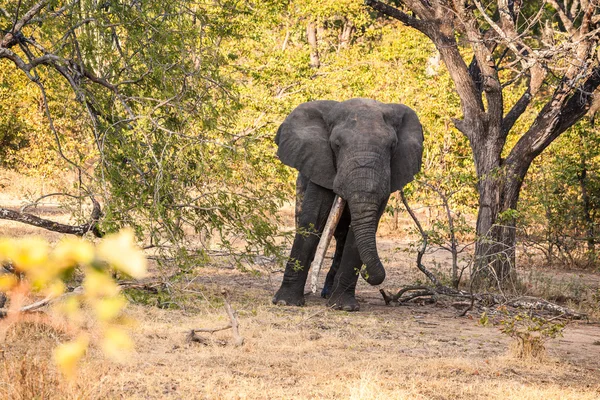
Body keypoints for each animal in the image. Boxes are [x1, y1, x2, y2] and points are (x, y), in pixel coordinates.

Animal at [272, 98, 422, 310]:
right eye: (336, 144)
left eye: (392, 146)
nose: (367, 274)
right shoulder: (321, 164)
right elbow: (313, 218)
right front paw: (286, 302)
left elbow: (363, 229)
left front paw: (344, 307)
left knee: (343, 237)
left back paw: (328, 294)